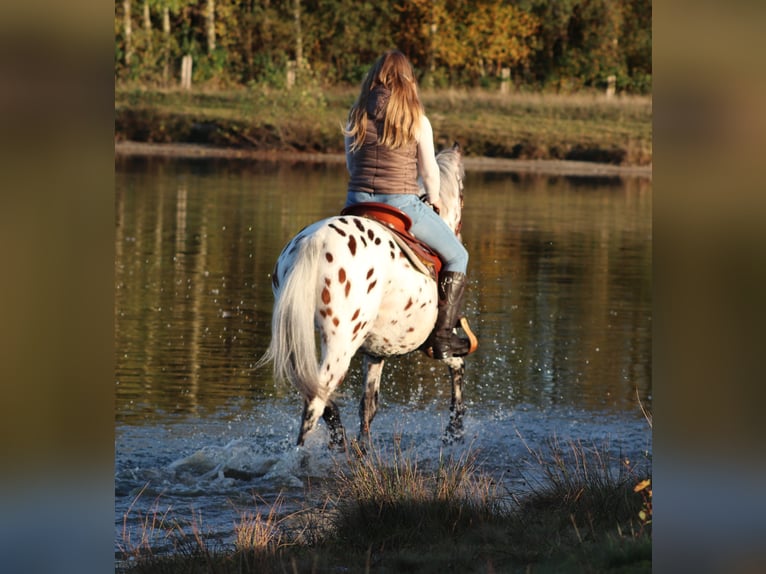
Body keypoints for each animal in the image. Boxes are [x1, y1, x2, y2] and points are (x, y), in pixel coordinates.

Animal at [258, 143, 480, 450]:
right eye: (463, 191)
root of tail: (316, 241)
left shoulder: (376, 350)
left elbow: (368, 406)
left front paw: (365, 447)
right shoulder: (434, 343)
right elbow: (457, 367)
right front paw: (454, 431)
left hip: (298, 336)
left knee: (319, 396)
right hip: (340, 344)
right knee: (314, 404)